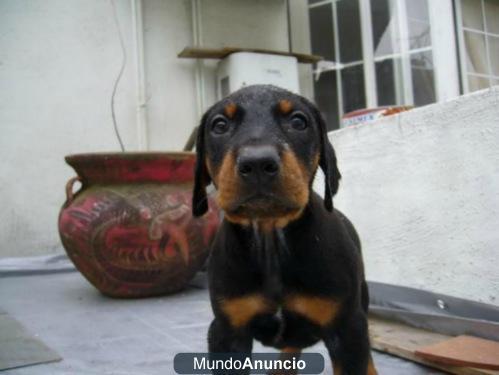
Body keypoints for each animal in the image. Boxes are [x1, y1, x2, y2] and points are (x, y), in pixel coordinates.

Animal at [193, 86, 376, 375]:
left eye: (298, 122)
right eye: (219, 125)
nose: (257, 163)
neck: (271, 238)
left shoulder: (347, 328)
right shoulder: (227, 331)